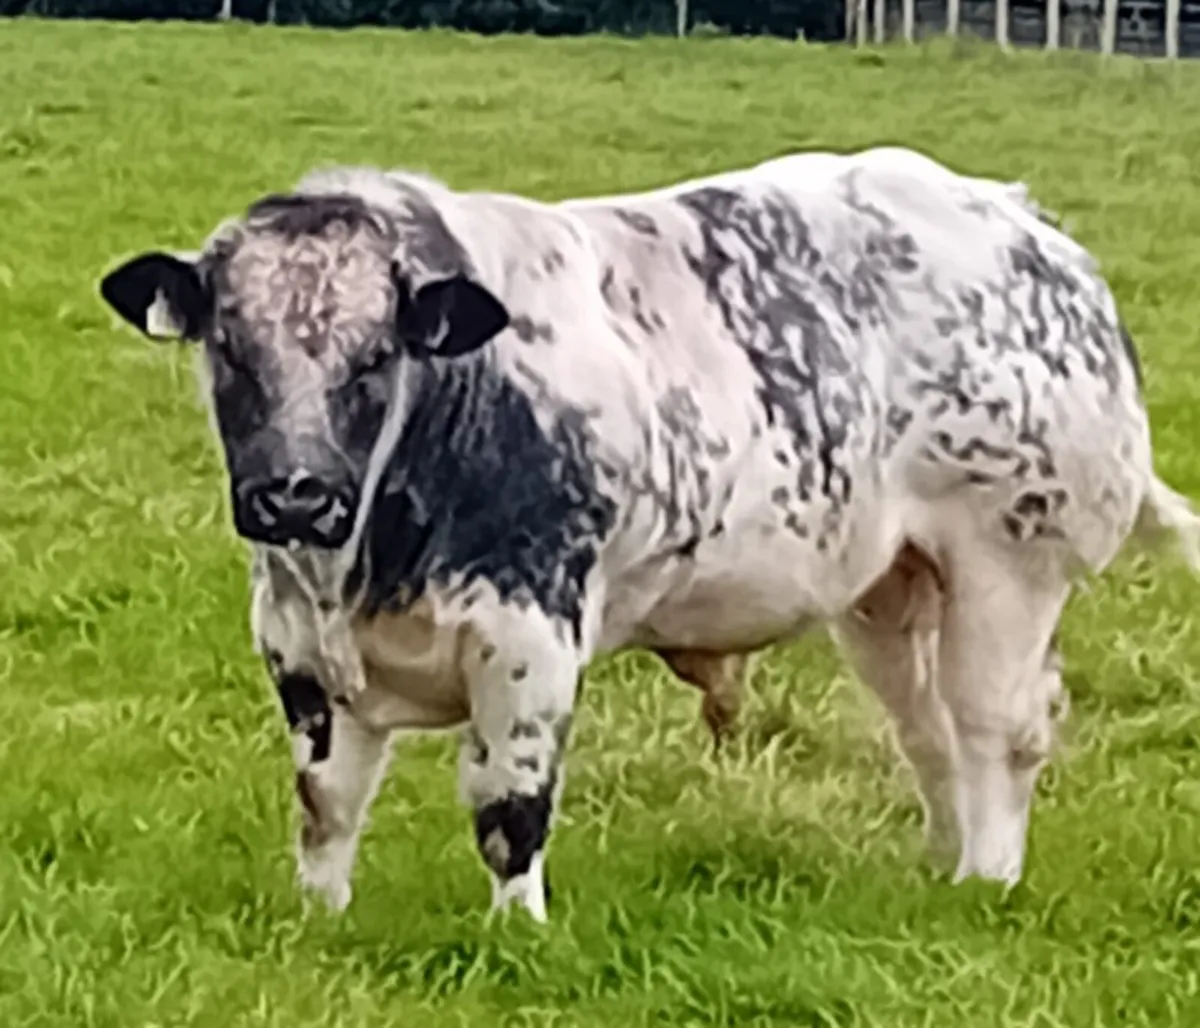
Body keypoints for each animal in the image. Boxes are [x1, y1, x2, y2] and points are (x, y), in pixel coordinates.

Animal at [97, 145, 1199, 923]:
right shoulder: (297, 647)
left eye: (376, 355)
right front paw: (320, 919)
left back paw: (986, 880)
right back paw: (938, 866)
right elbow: (326, 803)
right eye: (231, 348)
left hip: (1009, 559)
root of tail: (1027, 226)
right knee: (927, 730)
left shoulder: (530, 636)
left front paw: (518, 933)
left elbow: (510, 806)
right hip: (888, 586)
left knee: (997, 729)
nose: (295, 494)